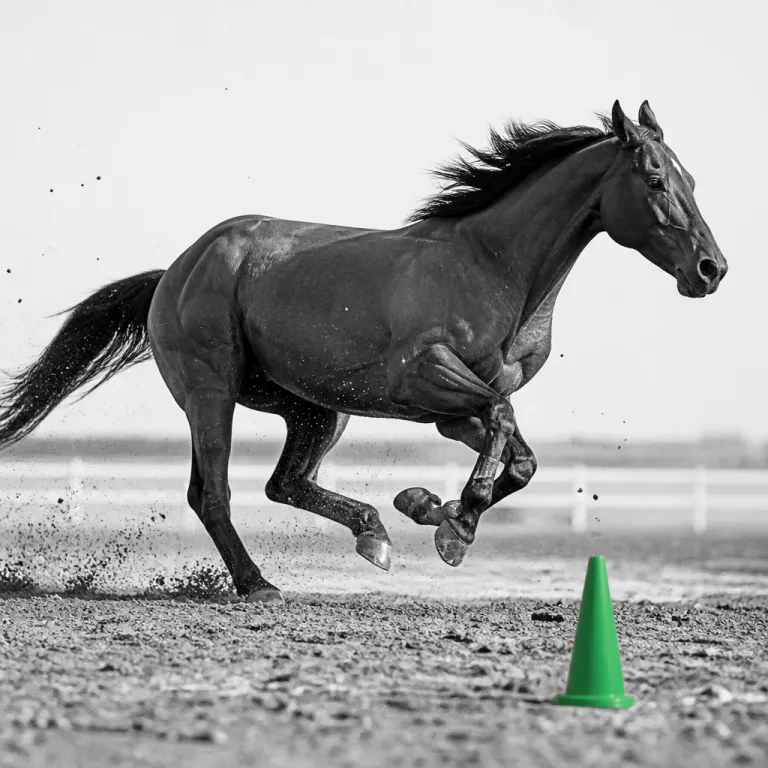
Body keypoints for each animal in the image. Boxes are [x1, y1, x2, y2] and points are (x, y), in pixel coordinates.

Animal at [0, 100, 727, 603]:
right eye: (655, 180)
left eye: (692, 177)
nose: (711, 269)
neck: (495, 268)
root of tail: (175, 272)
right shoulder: (426, 377)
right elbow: (502, 424)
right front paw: (453, 524)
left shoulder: (452, 411)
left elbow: (519, 455)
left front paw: (432, 508)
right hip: (213, 393)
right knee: (213, 493)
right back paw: (258, 585)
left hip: (318, 409)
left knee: (284, 483)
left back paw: (373, 532)